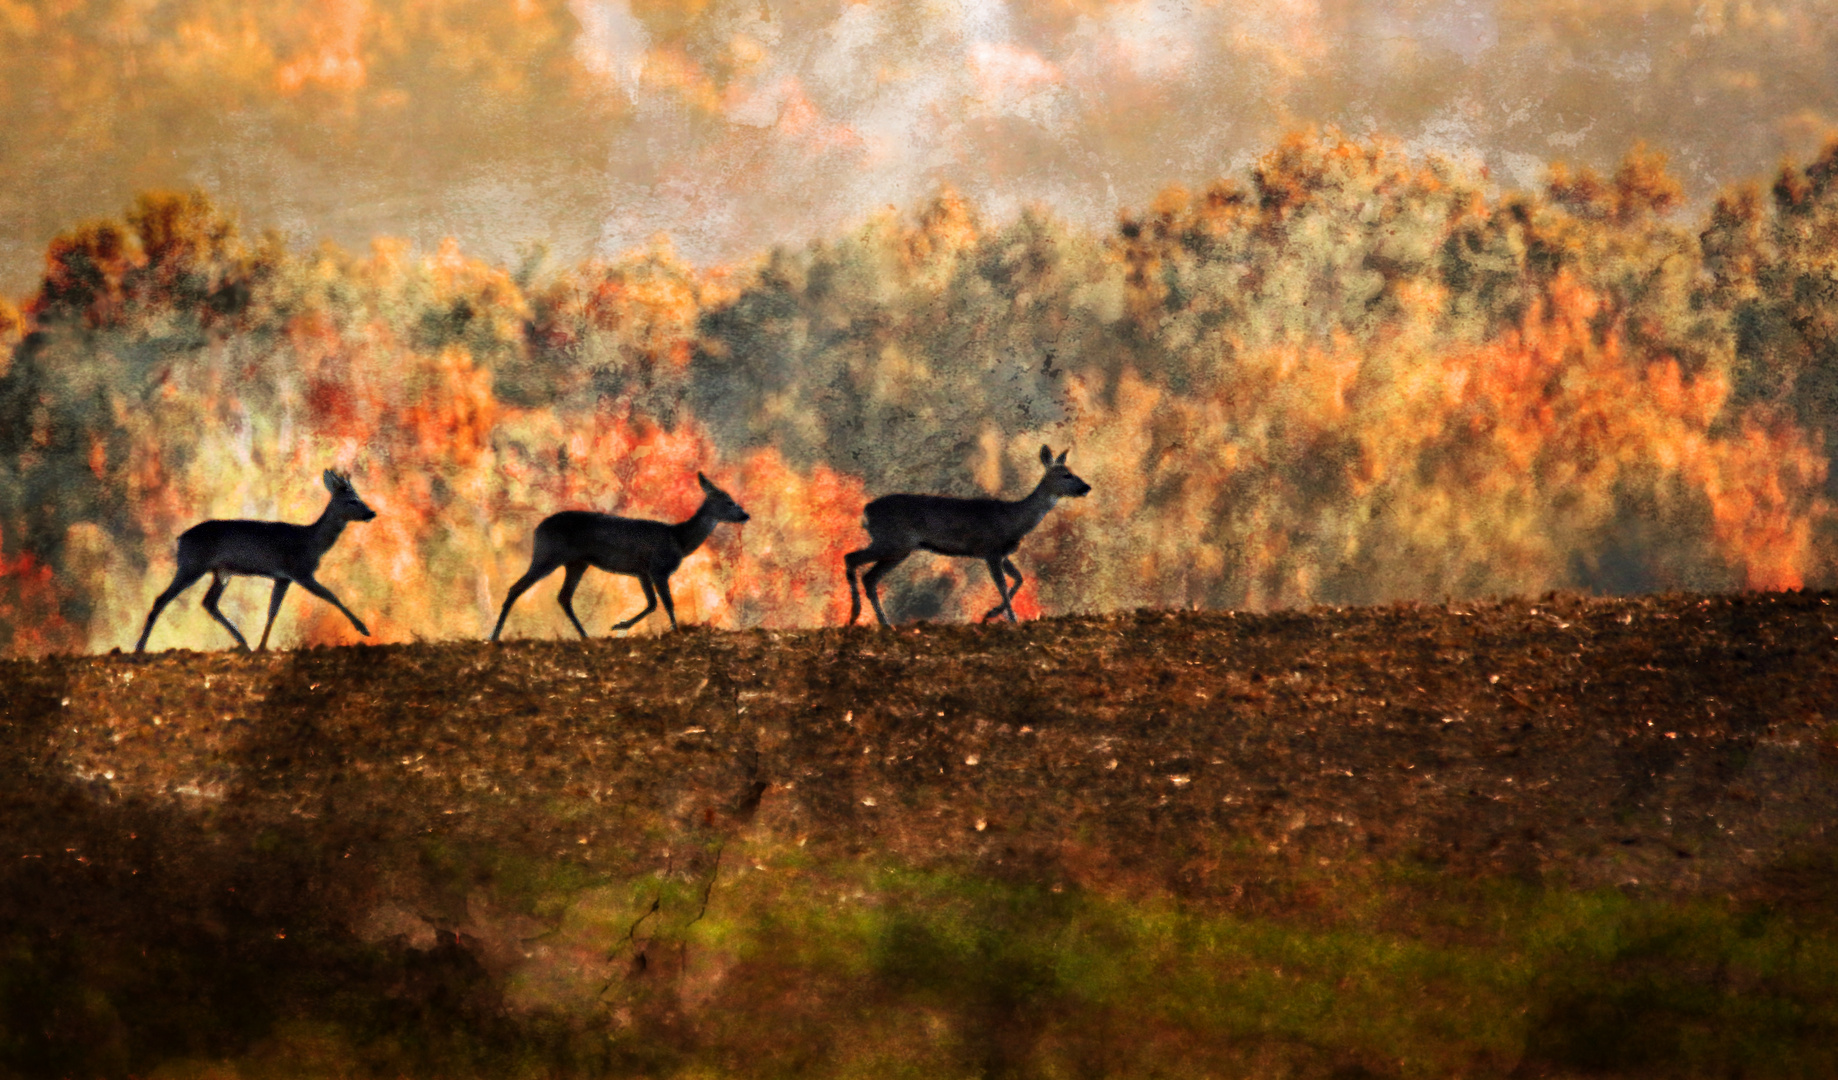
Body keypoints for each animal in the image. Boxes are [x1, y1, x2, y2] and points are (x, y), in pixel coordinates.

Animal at [137, 470, 382, 653]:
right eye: (352, 501)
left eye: (360, 498)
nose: (371, 513)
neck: (311, 542)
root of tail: (180, 539)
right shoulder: (299, 571)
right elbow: (332, 596)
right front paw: (364, 629)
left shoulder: (283, 577)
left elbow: (272, 611)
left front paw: (262, 647)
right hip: (192, 565)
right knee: (162, 599)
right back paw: (139, 648)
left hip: (221, 572)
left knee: (209, 602)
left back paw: (243, 642)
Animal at [488, 473, 753, 642]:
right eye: (729, 502)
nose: (746, 515)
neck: (679, 539)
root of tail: (536, 530)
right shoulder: (657, 568)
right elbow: (666, 603)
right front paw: (673, 630)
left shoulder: (642, 571)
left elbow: (652, 603)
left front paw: (621, 625)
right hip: (549, 554)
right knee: (517, 588)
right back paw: (494, 635)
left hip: (577, 562)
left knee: (563, 596)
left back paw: (585, 635)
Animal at [845, 442, 1088, 628]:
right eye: (1066, 475)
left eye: (1074, 472)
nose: (1086, 487)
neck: (1014, 519)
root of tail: (867, 510)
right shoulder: (991, 549)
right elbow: (1002, 584)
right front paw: (1010, 618)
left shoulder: (1003, 554)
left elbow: (1019, 578)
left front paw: (992, 613)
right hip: (893, 541)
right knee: (852, 558)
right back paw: (855, 615)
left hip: (897, 549)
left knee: (869, 576)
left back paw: (883, 623)